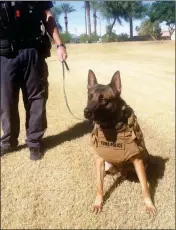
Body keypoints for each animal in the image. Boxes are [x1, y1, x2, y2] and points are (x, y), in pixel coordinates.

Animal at [84, 69, 157, 215]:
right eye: (89, 97)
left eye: (104, 100)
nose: (86, 112)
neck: (111, 126)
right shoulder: (99, 160)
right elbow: (99, 185)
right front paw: (98, 203)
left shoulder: (137, 161)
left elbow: (144, 187)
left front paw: (149, 205)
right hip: (107, 165)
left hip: (143, 161)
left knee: (129, 174)